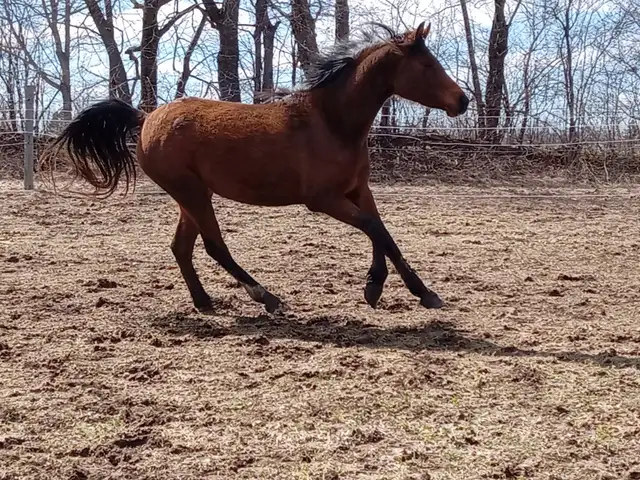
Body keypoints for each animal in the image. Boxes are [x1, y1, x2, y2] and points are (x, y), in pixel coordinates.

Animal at [46, 22, 469, 315]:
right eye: (427, 65)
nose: (462, 101)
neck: (332, 123)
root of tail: (146, 117)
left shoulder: (357, 190)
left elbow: (383, 233)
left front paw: (407, 290)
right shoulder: (324, 200)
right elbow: (373, 228)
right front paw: (386, 288)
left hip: (191, 195)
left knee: (182, 247)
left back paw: (204, 302)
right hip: (191, 193)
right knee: (214, 246)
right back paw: (267, 297)